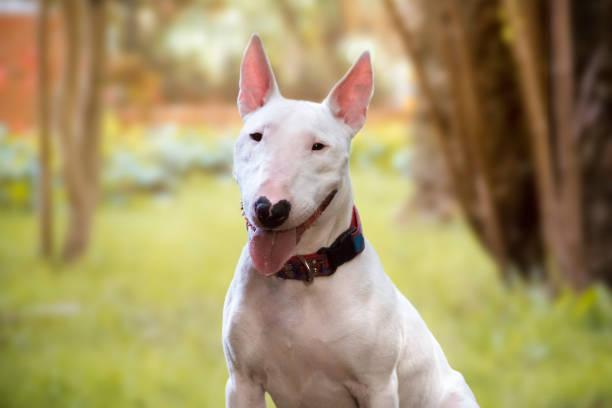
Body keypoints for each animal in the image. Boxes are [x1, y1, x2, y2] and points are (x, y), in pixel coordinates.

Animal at [221, 35, 478, 408]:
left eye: (318, 146)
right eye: (256, 136)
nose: (269, 209)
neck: (304, 272)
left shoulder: (379, 387)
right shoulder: (242, 383)